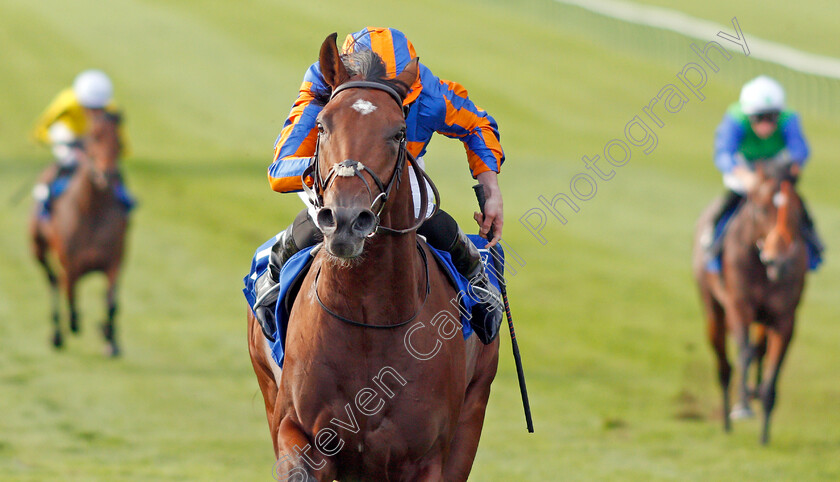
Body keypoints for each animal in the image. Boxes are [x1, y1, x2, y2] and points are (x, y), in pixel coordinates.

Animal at [30, 110, 130, 358]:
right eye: (94, 137)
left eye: (120, 141)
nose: (107, 174)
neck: (91, 210)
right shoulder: (70, 263)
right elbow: (70, 296)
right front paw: (76, 325)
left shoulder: (115, 260)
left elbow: (112, 303)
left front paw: (110, 339)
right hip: (37, 249)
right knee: (52, 282)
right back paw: (57, 333)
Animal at [248, 33, 498, 478]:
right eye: (321, 124)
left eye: (399, 133)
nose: (347, 220)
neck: (369, 321)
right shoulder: (299, 432)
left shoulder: (426, 458)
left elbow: (478, 123)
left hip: (474, 411)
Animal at [692, 162, 812, 444]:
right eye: (761, 209)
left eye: (797, 211)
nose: (780, 260)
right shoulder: (739, 307)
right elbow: (744, 353)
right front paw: (743, 405)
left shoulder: (784, 318)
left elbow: (772, 365)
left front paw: (764, 432)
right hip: (713, 309)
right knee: (725, 365)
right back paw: (727, 418)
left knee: (759, 349)